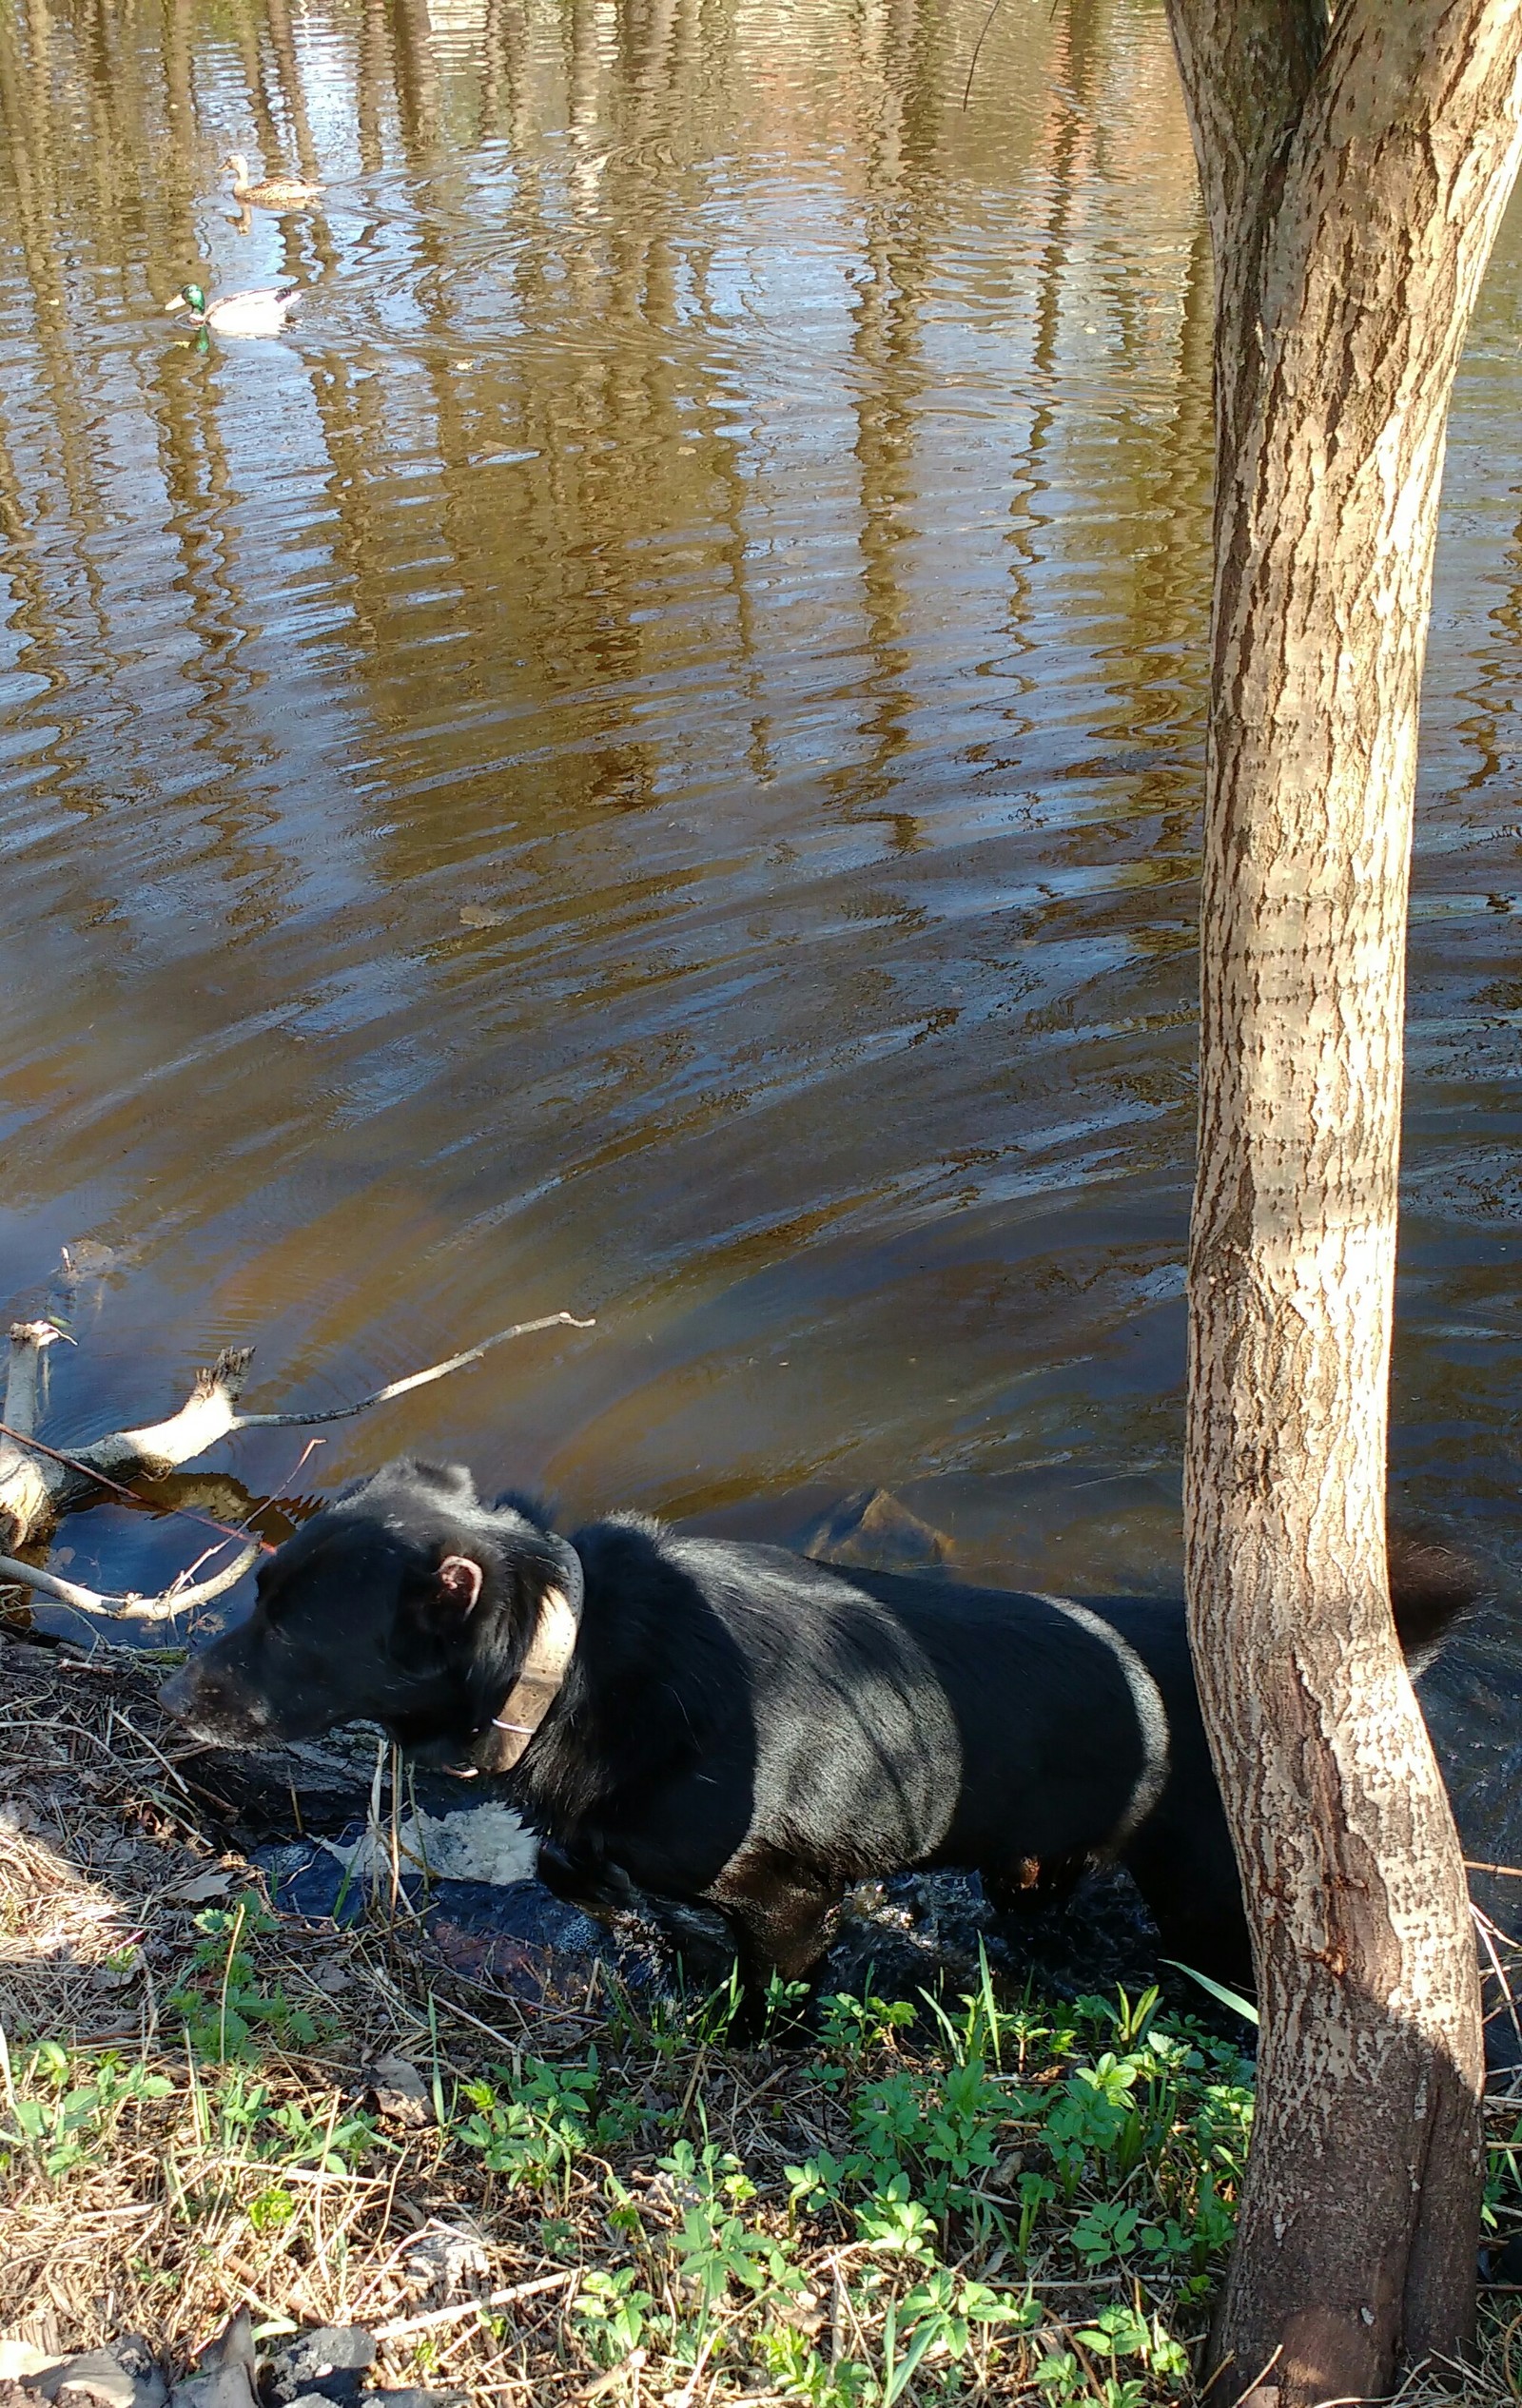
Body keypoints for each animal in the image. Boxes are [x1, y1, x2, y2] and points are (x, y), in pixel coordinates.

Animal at [157, 1464, 1473, 1993]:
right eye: (257, 1595)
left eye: (289, 1628)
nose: (175, 1700)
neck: (568, 1659)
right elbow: (579, 1870)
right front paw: (647, 1935)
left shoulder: (786, 1895)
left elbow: (770, 1985)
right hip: (1038, 1856)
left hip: (1204, 1891)